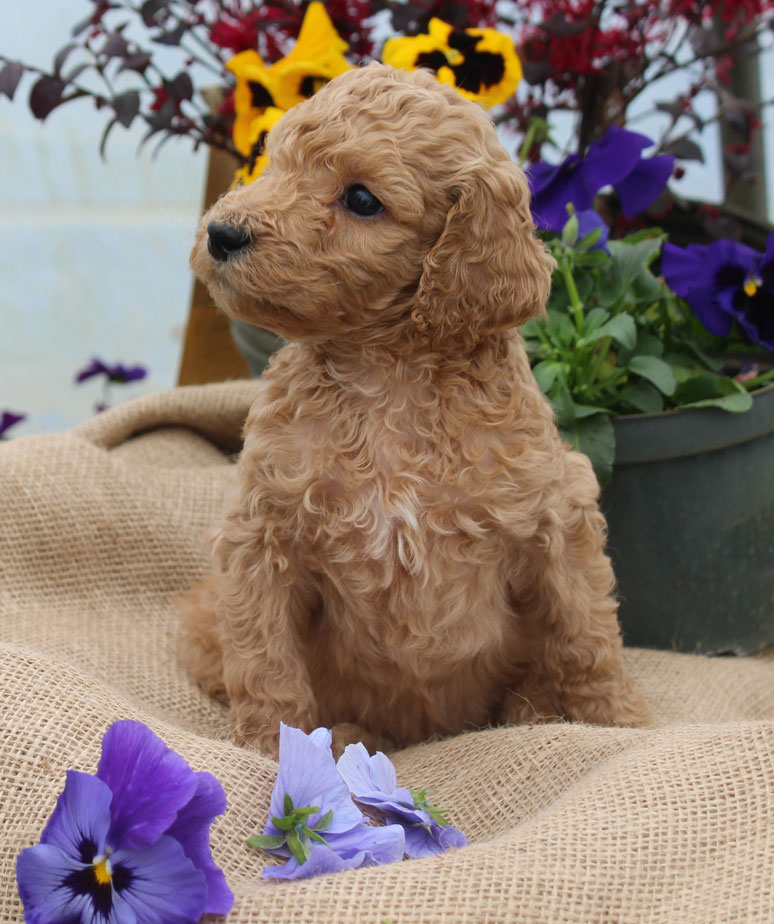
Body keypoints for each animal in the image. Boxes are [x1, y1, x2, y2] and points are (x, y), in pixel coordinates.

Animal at [185, 63, 652, 756]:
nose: (222, 233)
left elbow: (586, 634)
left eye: (361, 199)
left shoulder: (557, 515)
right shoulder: (261, 532)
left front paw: (619, 724)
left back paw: (534, 709)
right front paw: (271, 747)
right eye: (275, 163)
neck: (389, 378)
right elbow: (264, 658)